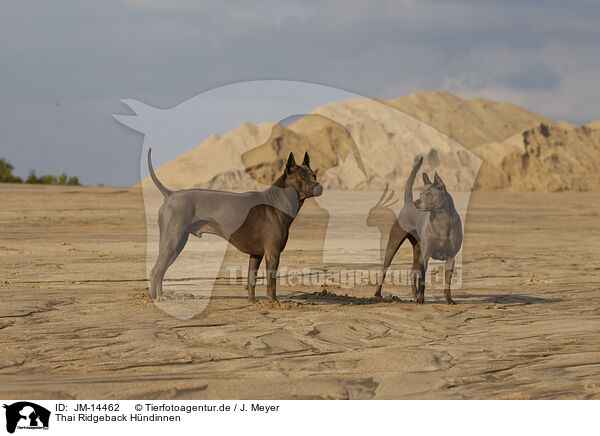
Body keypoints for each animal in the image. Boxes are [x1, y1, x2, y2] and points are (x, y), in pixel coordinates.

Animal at [147, 148, 322, 302]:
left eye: (314, 175)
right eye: (303, 177)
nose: (320, 187)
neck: (277, 202)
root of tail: (171, 194)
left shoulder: (256, 254)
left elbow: (251, 279)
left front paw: (253, 302)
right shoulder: (272, 254)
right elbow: (271, 283)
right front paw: (273, 302)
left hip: (176, 244)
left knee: (161, 272)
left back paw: (162, 296)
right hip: (174, 242)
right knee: (156, 271)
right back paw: (157, 299)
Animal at [376, 158, 464, 304]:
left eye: (429, 194)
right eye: (421, 194)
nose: (417, 202)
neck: (442, 221)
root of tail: (408, 203)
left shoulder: (451, 258)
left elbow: (447, 281)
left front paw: (449, 300)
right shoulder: (425, 256)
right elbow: (422, 279)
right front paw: (421, 299)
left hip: (417, 248)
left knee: (412, 272)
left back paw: (414, 295)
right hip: (394, 242)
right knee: (384, 268)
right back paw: (378, 294)